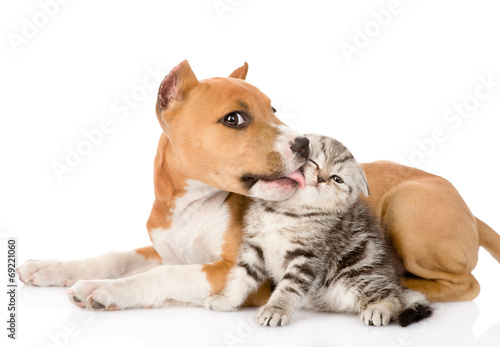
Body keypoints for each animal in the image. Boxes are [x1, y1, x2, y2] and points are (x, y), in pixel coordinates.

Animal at [205, 134, 432, 328]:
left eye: (337, 179)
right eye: (314, 163)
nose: (321, 178)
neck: (287, 211)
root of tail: (392, 280)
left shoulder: (308, 256)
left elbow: (288, 287)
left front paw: (275, 309)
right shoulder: (255, 248)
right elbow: (240, 277)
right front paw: (225, 300)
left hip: (357, 274)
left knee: (391, 297)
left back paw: (379, 309)